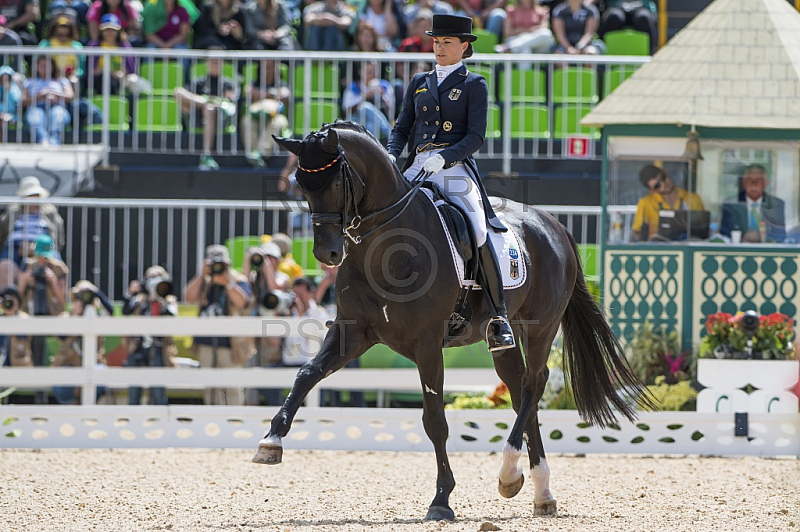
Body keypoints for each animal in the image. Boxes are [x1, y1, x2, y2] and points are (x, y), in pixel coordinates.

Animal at [253, 120, 652, 520]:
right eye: (302, 184)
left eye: (336, 183)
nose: (327, 254)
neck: (385, 248)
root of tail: (554, 225)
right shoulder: (353, 332)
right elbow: (307, 374)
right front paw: (270, 441)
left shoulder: (428, 345)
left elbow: (435, 421)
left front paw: (442, 499)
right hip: (502, 339)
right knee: (520, 389)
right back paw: (539, 491)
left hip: (540, 327)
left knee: (534, 384)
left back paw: (509, 472)